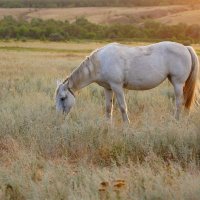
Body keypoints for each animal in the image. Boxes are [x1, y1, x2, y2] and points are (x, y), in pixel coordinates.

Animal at [55, 41, 200, 122]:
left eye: (62, 98)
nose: (59, 118)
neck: (100, 62)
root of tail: (186, 48)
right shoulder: (108, 88)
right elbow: (108, 108)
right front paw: (107, 125)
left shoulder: (117, 86)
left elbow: (122, 107)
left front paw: (127, 126)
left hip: (178, 83)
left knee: (179, 102)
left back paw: (175, 121)